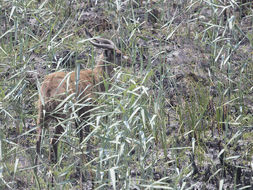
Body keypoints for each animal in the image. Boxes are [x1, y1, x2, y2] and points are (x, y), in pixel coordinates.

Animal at [35, 29, 131, 165]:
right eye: (118, 54)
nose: (130, 60)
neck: (95, 78)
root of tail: (47, 87)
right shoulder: (86, 112)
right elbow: (86, 134)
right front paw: (87, 159)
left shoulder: (78, 115)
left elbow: (80, 136)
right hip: (61, 117)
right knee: (53, 141)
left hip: (42, 116)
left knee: (38, 142)